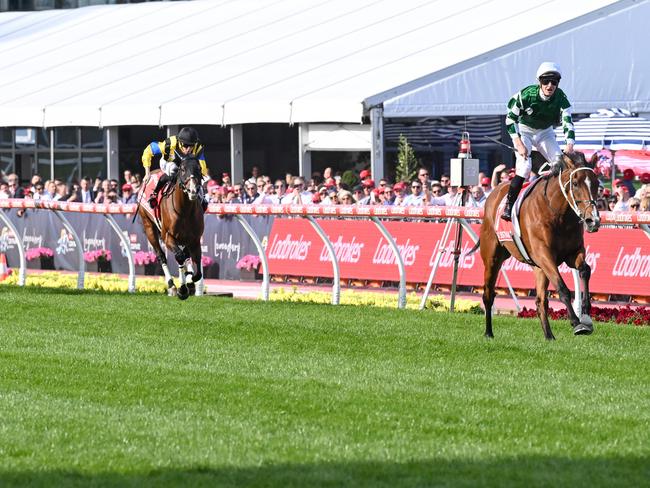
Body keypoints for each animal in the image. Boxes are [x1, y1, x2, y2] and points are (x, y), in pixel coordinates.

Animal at [138, 156, 204, 302]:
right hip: (148, 226)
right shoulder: (168, 237)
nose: (193, 190)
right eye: (182, 169)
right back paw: (171, 285)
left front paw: (190, 279)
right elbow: (179, 256)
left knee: (185, 255)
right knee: (161, 256)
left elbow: (197, 270)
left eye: (199, 169)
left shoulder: (195, 239)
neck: (185, 211)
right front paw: (182, 289)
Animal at [476, 152, 596, 340]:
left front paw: (586, 314)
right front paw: (576, 323)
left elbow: (585, 270)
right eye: (575, 183)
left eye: (597, 183)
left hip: (538, 267)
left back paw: (549, 336)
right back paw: (488, 332)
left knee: (541, 300)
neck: (557, 213)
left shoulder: (573, 253)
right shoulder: (544, 254)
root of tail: (493, 192)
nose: (593, 220)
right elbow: (562, 288)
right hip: (492, 258)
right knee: (488, 295)